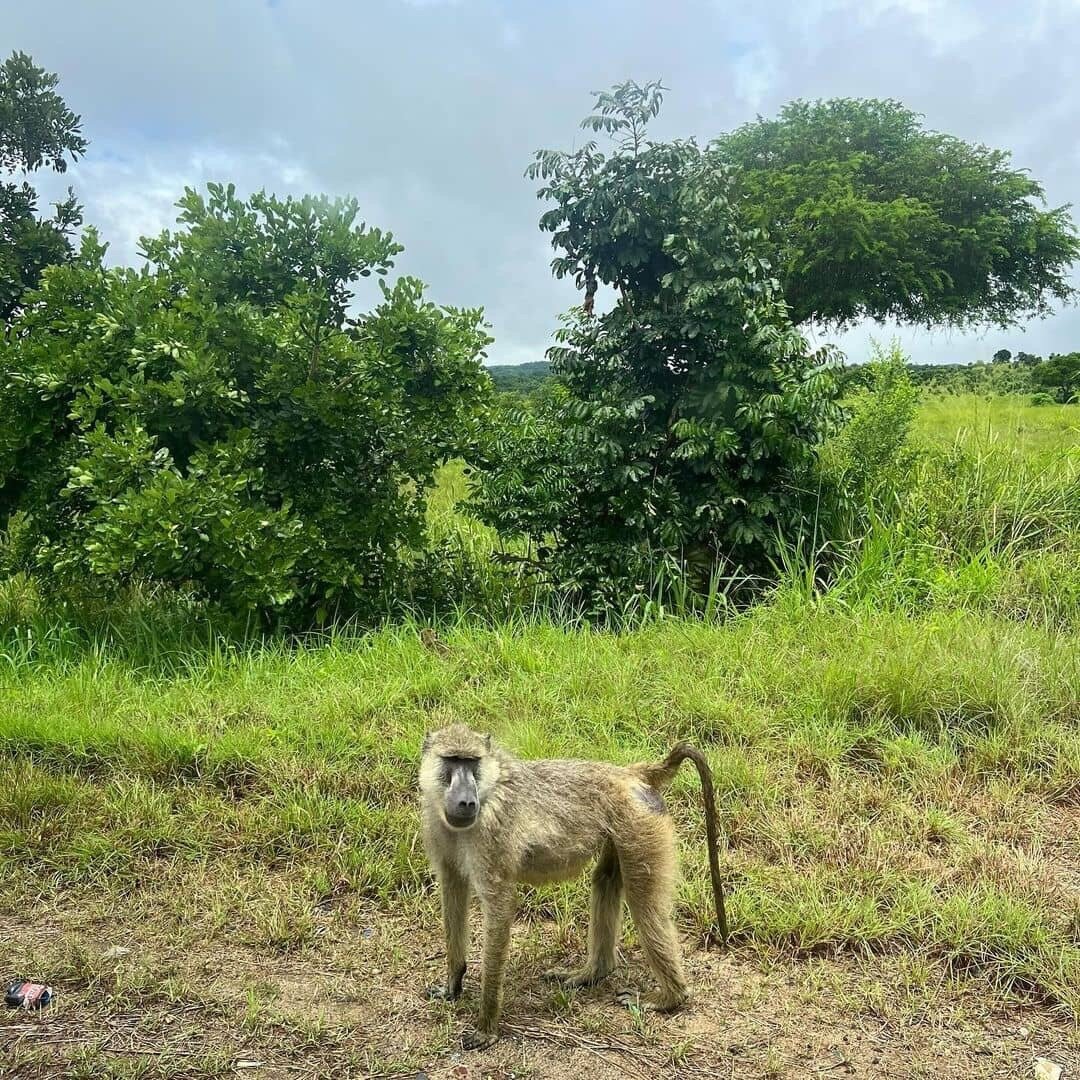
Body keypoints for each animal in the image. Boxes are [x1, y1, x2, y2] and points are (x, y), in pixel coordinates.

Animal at [418, 723, 727, 1050]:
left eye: (471, 762)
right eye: (452, 761)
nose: (466, 802)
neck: (489, 787)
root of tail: (629, 773)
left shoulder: (493, 836)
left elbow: (500, 908)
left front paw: (486, 1027)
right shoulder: (439, 832)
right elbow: (452, 890)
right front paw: (452, 986)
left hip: (640, 824)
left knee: (644, 903)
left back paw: (670, 998)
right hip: (623, 828)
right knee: (606, 880)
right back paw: (593, 973)